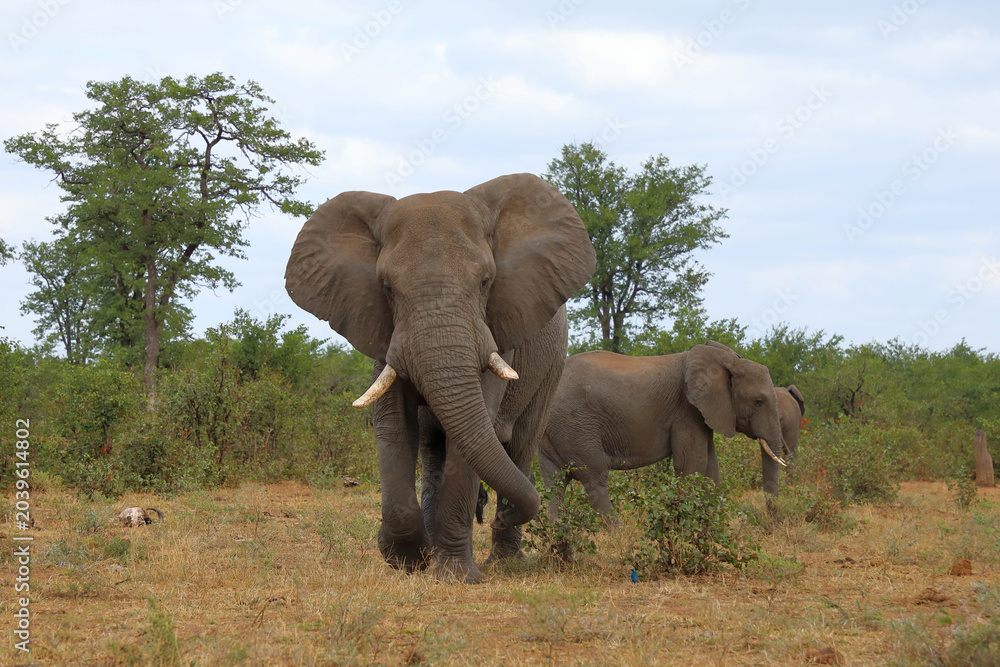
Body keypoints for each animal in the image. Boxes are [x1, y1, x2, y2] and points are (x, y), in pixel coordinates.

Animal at [285, 173, 596, 582]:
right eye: (387, 288)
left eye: (485, 282)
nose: (499, 517)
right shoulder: (382, 328)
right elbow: (393, 424)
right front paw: (407, 559)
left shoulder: (497, 331)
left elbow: (475, 430)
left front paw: (457, 576)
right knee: (435, 450)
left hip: (552, 365)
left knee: (521, 444)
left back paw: (504, 561)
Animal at [537, 342, 787, 523]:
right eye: (758, 402)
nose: (771, 521)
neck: (726, 360)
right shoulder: (686, 411)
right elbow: (691, 465)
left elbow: (710, 468)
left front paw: (714, 524)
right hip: (575, 426)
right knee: (594, 477)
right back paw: (617, 533)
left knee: (555, 483)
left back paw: (557, 535)